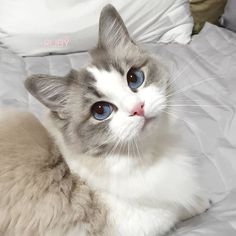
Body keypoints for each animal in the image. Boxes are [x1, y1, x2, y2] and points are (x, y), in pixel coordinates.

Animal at [1, 3, 210, 236]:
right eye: (101, 111)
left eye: (134, 78)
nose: (138, 109)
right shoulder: (144, 221)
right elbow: (177, 210)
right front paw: (202, 203)